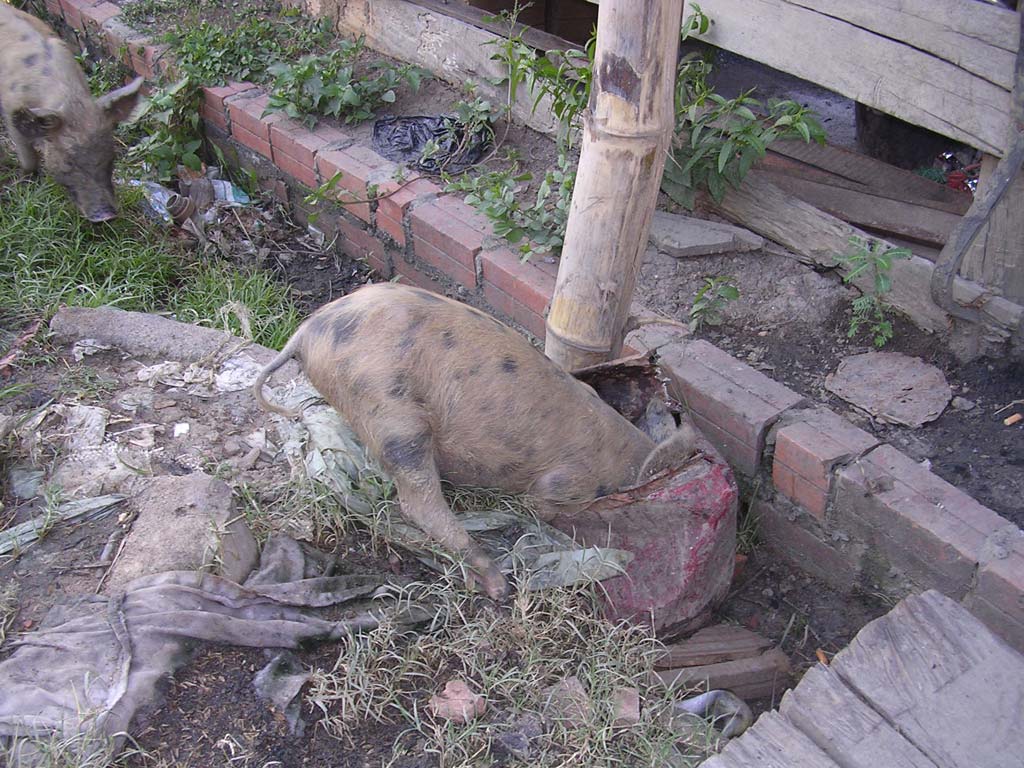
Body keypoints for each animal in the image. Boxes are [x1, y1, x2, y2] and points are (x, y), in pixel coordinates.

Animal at [0, 5, 142, 222]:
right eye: (69, 161)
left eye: (110, 155)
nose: (106, 216)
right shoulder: (11, 114)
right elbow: (28, 158)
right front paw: (27, 183)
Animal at [252, 282, 696, 602]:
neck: (623, 455)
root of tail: (306, 332)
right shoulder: (563, 485)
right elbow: (541, 507)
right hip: (390, 409)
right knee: (418, 504)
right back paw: (498, 586)